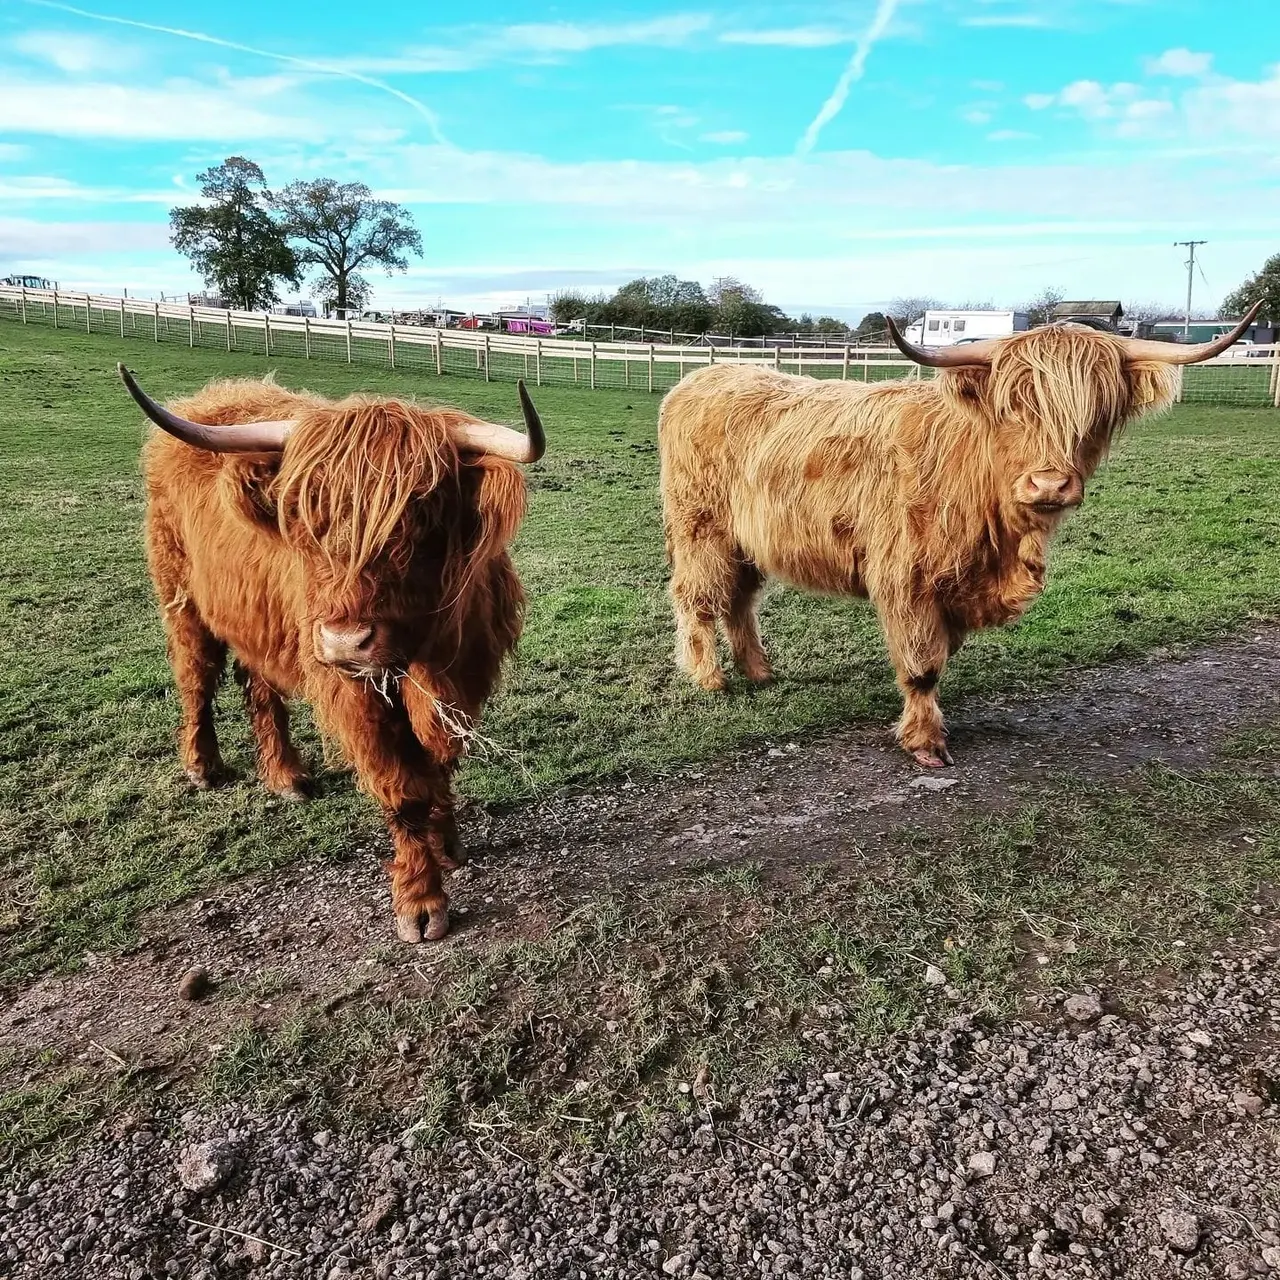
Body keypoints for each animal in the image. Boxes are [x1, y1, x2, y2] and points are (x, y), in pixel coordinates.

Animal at [122, 365, 546, 943]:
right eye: (304, 513)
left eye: (422, 512)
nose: (344, 642)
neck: (421, 656)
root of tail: (215, 396)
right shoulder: (354, 692)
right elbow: (403, 786)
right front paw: (420, 900)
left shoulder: (462, 676)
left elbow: (438, 761)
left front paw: (448, 843)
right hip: (182, 598)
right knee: (196, 677)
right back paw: (203, 766)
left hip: (261, 616)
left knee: (258, 684)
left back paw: (286, 776)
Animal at [659, 302, 1262, 768]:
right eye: (1013, 407)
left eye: (1094, 412)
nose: (1050, 482)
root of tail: (706, 375)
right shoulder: (905, 576)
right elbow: (923, 665)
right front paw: (925, 742)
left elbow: (941, 654)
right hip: (700, 529)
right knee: (698, 597)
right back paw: (710, 678)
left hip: (745, 541)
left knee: (740, 599)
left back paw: (760, 671)